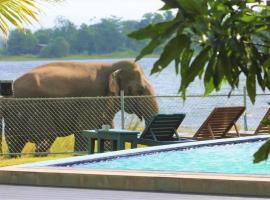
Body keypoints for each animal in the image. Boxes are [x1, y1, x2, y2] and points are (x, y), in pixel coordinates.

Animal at [4, 61, 158, 155]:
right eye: (139, 90)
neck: (110, 66)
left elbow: (107, 129)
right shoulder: (92, 98)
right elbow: (84, 127)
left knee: (14, 141)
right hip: (33, 107)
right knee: (46, 136)